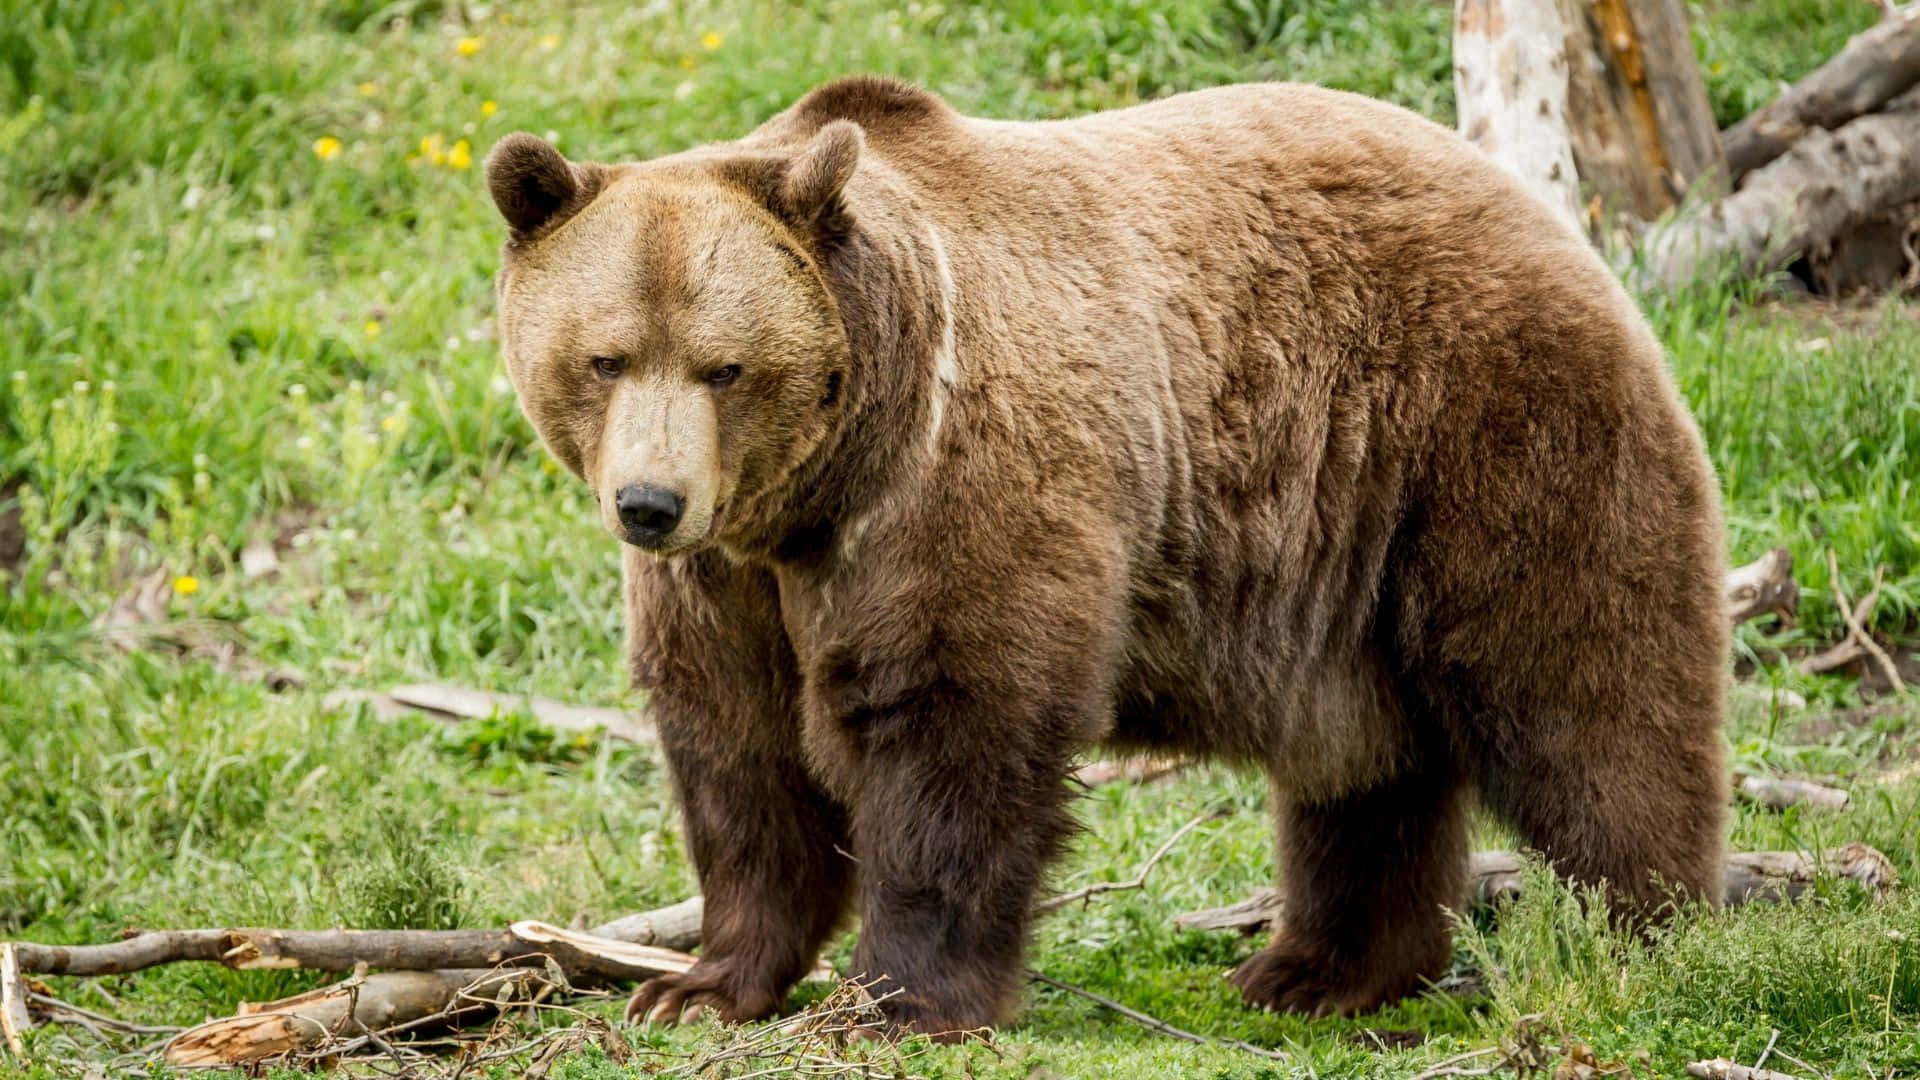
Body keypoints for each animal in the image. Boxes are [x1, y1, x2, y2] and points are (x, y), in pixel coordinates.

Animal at [484, 75, 1729, 1038]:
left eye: (725, 367)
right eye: (604, 358)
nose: (650, 504)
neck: (819, 489)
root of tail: (1547, 215)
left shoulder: (955, 488)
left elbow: (952, 719)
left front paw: (903, 995)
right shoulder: (728, 582)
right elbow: (740, 754)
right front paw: (698, 986)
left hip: (1485, 429)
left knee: (1584, 688)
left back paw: (1647, 935)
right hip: (1348, 560)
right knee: (1368, 767)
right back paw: (1317, 970)